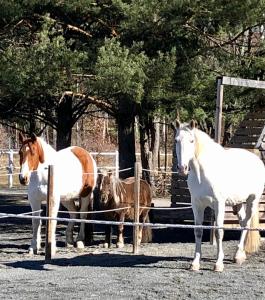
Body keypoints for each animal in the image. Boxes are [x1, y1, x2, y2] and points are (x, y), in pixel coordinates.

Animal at [173, 119, 264, 272]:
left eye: (192, 141)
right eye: (176, 140)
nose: (182, 168)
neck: (202, 173)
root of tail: (257, 160)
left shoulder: (219, 204)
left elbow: (218, 232)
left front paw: (218, 264)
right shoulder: (196, 205)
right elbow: (198, 231)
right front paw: (195, 263)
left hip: (252, 201)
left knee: (246, 224)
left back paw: (238, 255)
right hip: (237, 203)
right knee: (242, 223)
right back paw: (239, 255)